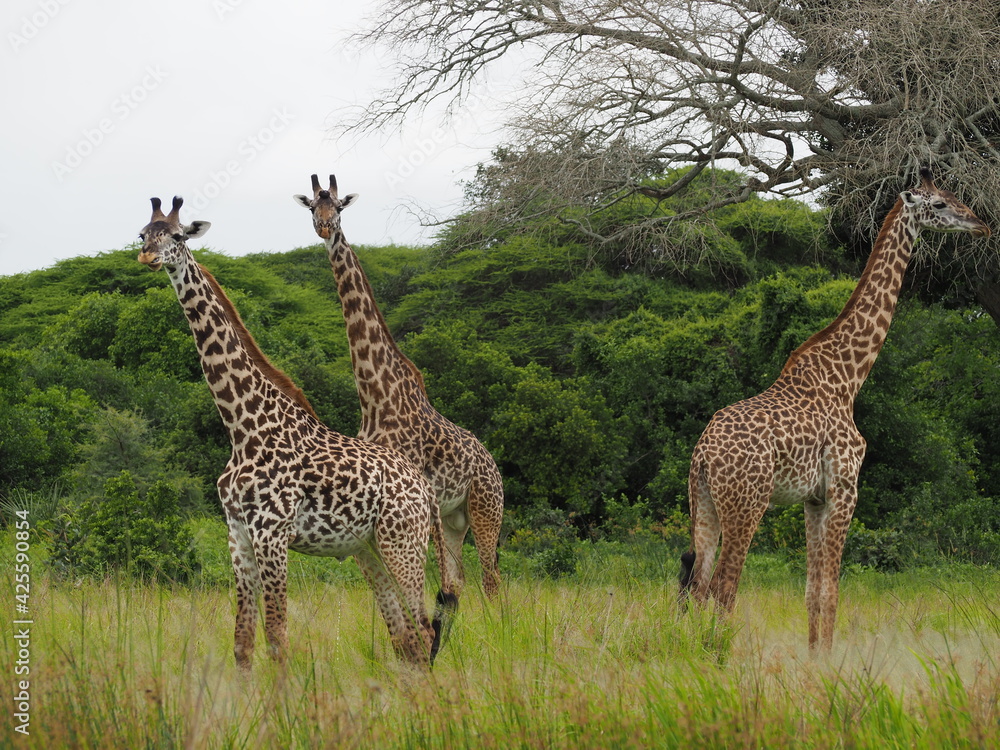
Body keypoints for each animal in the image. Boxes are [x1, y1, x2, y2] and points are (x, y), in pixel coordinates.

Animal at [136, 195, 441, 671]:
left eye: (179, 235)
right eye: (143, 234)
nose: (148, 256)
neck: (242, 426)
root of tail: (424, 488)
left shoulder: (272, 533)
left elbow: (277, 636)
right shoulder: (238, 535)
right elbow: (242, 642)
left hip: (403, 540)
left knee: (425, 632)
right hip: (369, 548)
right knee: (406, 636)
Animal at [293, 174, 505, 634]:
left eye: (339, 206)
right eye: (311, 207)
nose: (324, 227)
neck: (375, 395)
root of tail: (493, 462)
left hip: (486, 508)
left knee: (491, 578)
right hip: (454, 518)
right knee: (460, 579)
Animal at [678, 168, 990, 650]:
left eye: (954, 195)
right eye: (939, 204)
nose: (981, 225)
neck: (848, 378)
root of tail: (704, 455)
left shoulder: (813, 497)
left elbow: (811, 591)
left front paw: (814, 659)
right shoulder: (846, 487)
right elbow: (831, 590)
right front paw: (828, 661)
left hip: (704, 504)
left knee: (697, 585)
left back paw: (696, 653)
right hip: (747, 504)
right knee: (724, 587)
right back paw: (721, 655)